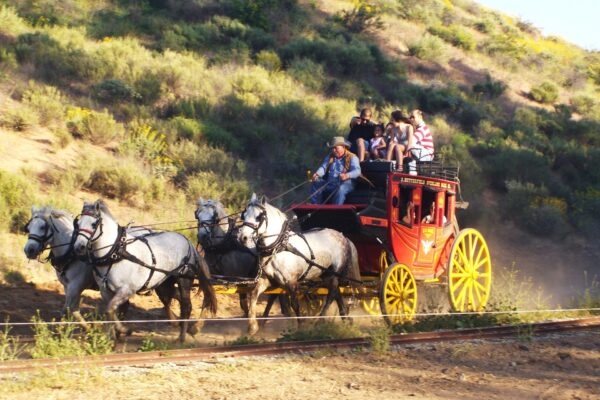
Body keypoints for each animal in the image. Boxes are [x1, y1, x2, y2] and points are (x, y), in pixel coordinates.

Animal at [22, 206, 185, 328]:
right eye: (28, 227)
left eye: (43, 226)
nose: (29, 250)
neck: (71, 252)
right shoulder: (67, 286)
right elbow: (69, 310)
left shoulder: (76, 285)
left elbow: (69, 309)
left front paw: (85, 328)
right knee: (171, 295)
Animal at [73, 199, 217, 340]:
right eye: (78, 223)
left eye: (93, 224)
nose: (79, 247)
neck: (116, 252)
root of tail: (189, 243)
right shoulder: (106, 291)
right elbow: (111, 312)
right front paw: (112, 336)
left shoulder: (127, 289)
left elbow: (111, 309)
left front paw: (124, 329)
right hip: (164, 284)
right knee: (172, 297)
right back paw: (187, 327)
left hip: (184, 279)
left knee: (186, 306)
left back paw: (182, 337)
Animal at [238, 194, 360, 334]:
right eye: (243, 215)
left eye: (259, 216)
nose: (243, 237)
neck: (279, 248)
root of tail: (343, 236)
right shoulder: (267, 280)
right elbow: (253, 296)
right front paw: (252, 326)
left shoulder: (292, 282)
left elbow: (295, 304)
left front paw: (301, 325)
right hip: (326, 273)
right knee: (336, 291)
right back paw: (345, 317)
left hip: (334, 272)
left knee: (332, 292)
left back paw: (320, 320)